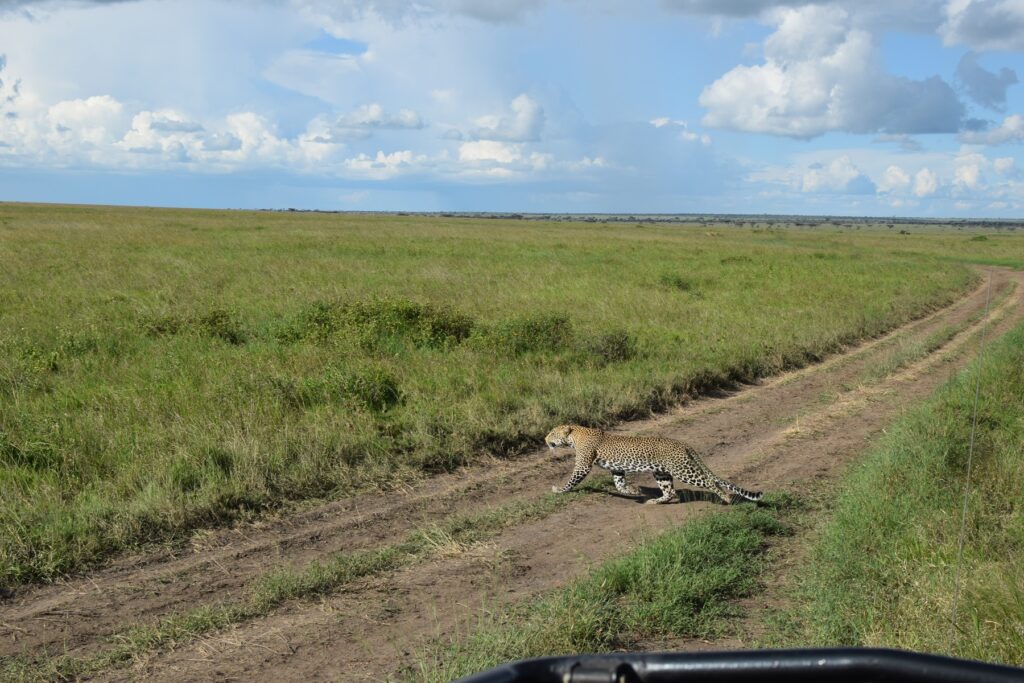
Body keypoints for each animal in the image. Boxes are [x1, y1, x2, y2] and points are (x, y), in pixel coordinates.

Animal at [544, 424, 762, 505]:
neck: (576, 436)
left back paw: (726, 497)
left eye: (553, 433)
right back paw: (655, 501)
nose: (545, 440)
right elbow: (619, 484)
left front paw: (558, 490)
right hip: (662, 473)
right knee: (670, 491)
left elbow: (571, 481)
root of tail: (682, 444)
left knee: (709, 482)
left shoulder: (583, 465)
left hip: (682, 469)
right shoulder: (616, 468)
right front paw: (633, 492)